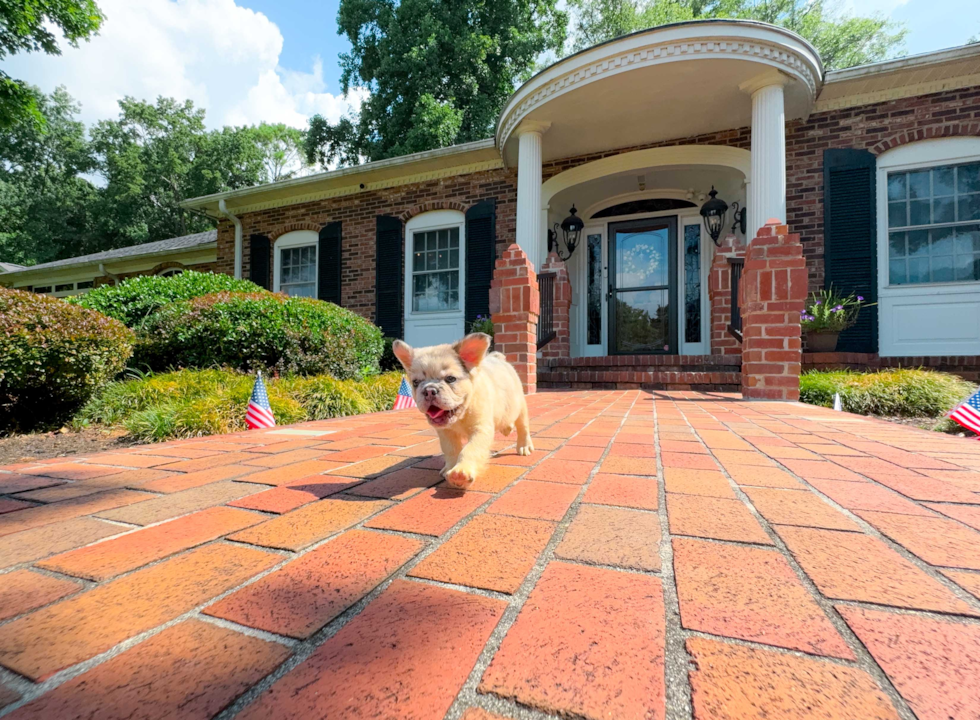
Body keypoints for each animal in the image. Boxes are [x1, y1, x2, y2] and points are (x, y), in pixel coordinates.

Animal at [390, 334, 532, 490]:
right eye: (415, 382)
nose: (429, 390)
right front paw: (449, 467)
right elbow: (451, 450)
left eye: (450, 379)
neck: (461, 415)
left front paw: (461, 472)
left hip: (520, 408)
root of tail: (498, 358)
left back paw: (524, 446)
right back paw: (508, 429)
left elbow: (470, 449)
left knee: (523, 427)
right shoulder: (446, 434)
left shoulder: (481, 429)